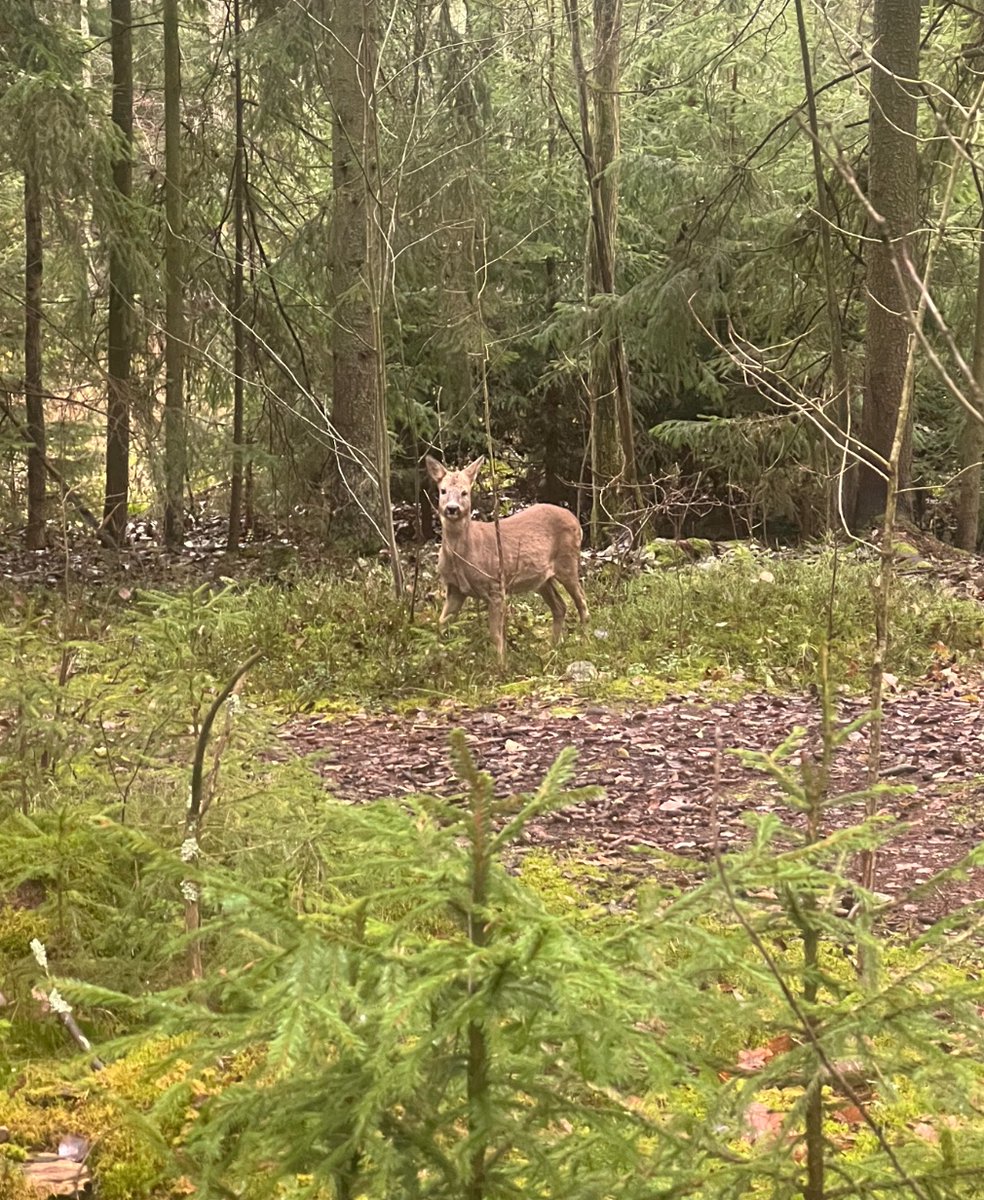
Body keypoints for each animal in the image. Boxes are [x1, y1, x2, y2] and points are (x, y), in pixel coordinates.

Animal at [425, 455, 589, 659]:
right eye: (443, 490)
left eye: (464, 492)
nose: (452, 508)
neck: (465, 554)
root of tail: (576, 520)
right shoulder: (454, 589)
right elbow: (440, 624)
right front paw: (435, 657)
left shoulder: (496, 586)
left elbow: (496, 635)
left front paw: (500, 664)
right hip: (542, 578)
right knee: (560, 606)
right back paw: (551, 650)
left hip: (567, 562)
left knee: (582, 602)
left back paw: (584, 643)